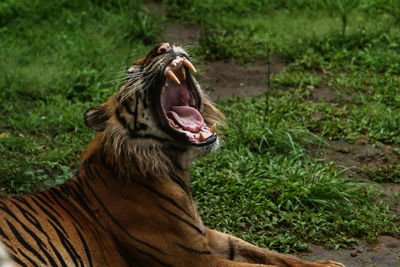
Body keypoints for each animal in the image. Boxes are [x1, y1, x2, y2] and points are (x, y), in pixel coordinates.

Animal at [0, 43, 344, 266]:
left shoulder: (205, 236)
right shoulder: (194, 258)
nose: (163, 46)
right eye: (133, 72)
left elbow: (264, 252)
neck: (174, 165)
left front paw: (327, 264)